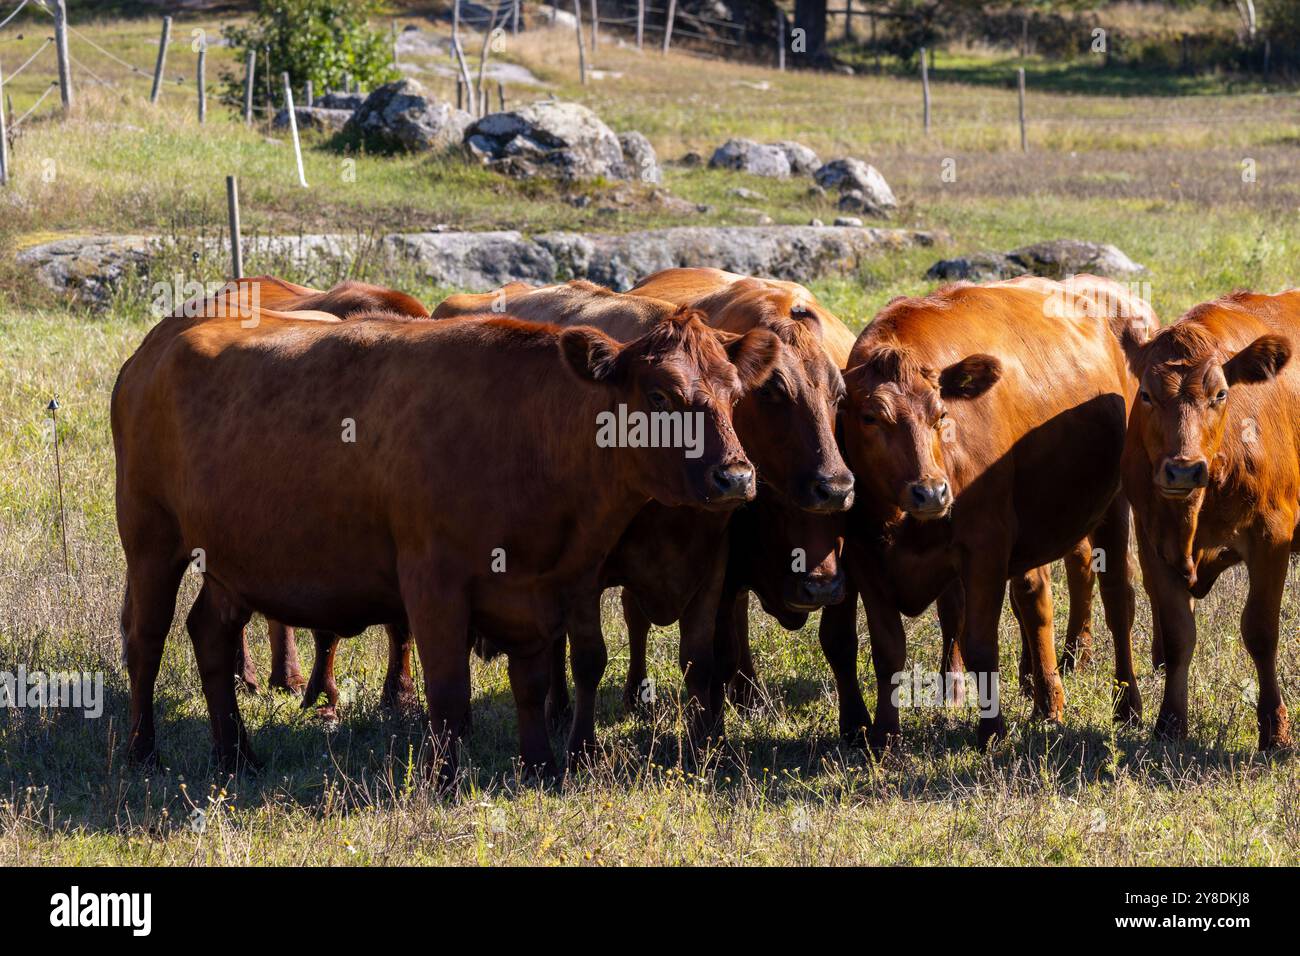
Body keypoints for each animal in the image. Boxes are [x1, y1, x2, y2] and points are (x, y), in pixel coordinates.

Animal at [111, 303, 774, 780]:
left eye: (735, 396)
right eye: (659, 396)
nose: (737, 477)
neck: (528, 436)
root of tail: (161, 338)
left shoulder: (545, 588)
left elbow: (533, 686)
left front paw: (542, 767)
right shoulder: (433, 581)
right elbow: (451, 695)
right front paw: (446, 779)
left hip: (231, 558)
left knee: (210, 633)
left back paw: (236, 755)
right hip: (150, 539)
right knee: (145, 641)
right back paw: (143, 751)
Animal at [826, 278, 1144, 749]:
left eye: (941, 414)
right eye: (869, 417)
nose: (931, 492)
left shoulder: (984, 546)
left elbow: (980, 645)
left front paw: (991, 730)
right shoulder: (865, 557)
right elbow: (888, 651)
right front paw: (884, 734)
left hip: (1114, 505)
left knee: (1118, 601)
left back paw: (1127, 706)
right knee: (1035, 598)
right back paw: (1046, 698)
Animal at [1118, 287, 1300, 749]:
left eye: (1220, 395)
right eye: (1145, 395)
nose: (1183, 470)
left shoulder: (1272, 536)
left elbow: (1260, 631)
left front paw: (1274, 727)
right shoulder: (1152, 542)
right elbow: (1179, 635)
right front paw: (1169, 723)